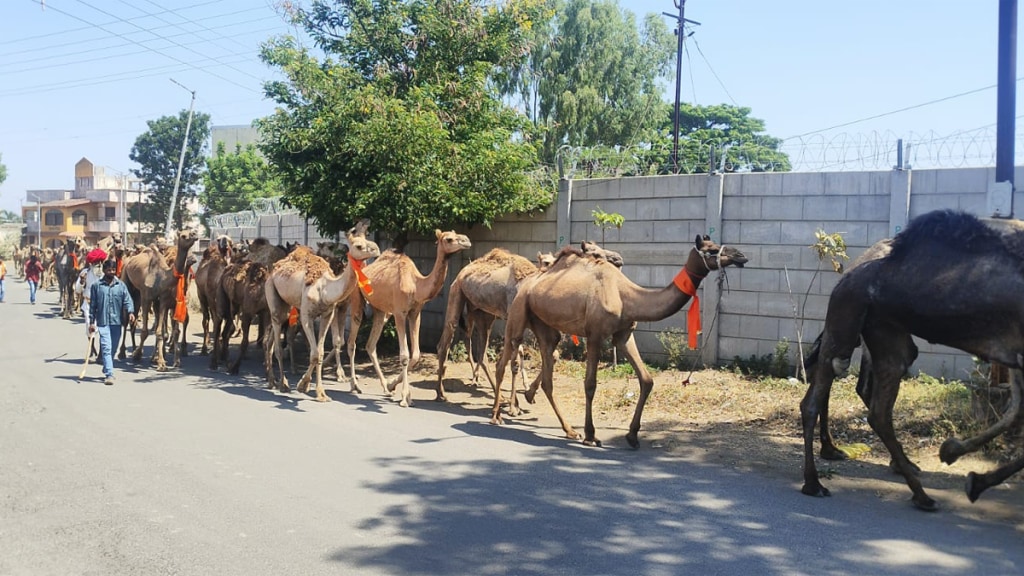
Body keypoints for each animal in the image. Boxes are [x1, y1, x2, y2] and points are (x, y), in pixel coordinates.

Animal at [119, 226, 197, 368]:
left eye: (191, 232)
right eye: (183, 236)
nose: (194, 234)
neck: (162, 276)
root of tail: (129, 260)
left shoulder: (160, 300)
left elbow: (161, 331)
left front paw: (161, 361)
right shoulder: (146, 297)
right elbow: (145, 331)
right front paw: (138, 355)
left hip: (138, 294)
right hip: (126, 279)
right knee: (127, 318)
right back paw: (122, 352)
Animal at [264, 217, 380, 401]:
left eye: (367, 236)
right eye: (359, 245)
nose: (376, 249)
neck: (324, 288)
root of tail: (274, 267)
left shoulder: (328, 314)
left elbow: (319, 352)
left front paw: (319, 392)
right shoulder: (306, 316)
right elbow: (314, 352)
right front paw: (303, 385)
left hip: (287, 305)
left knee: (270, 341)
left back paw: (272, 381)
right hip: (273, 296)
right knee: (277, 343)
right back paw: (283, 384)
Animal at [344, 227, 471, 403]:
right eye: (449, 239)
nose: (467, 240)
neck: (416, 285)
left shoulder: (415, 313)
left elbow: (416, 355)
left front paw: (393, 385)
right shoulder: (400, 312)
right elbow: (404, 355)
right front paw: (404, 397)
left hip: (381, 310)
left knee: (370, 344)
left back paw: (385, 388)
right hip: (357, 297)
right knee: (352, 341)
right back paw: (354, 386)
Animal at [491, 235, 749, 446]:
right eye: (711, 249)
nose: (741, 255)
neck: (627, 296)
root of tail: (527, 282)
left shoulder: (624, 335)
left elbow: (646, 380)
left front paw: (632, 435)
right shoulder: (595, 335)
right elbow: (590, 384)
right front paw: (591, 435)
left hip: (545, 326)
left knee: (547, 373)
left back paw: (568, 430)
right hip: (518, 313)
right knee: (503, 360)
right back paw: (497, 417)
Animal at [798, 208, 1024, 508]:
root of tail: (849, 273)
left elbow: (1015, 412)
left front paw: (959, 460)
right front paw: (965, 469)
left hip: (886, 336)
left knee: (874, 406)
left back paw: (917, 489)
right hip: (845, 324)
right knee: (821, 391)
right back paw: (815, 482)